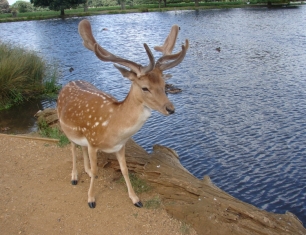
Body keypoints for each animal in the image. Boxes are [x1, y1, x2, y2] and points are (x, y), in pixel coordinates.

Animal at [56, 19, 188, 208]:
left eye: (164, 85)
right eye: (145, 87)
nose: (170, 109)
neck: (113, 127)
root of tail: (68, 83)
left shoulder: (120, 146)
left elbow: (125, 170)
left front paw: (136, 199)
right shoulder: (93, 142)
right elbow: (96, 170)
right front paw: (91, 199)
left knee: (81, 147)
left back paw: (85, 171)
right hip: (66, 127)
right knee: (73, 148)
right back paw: (74, 177)